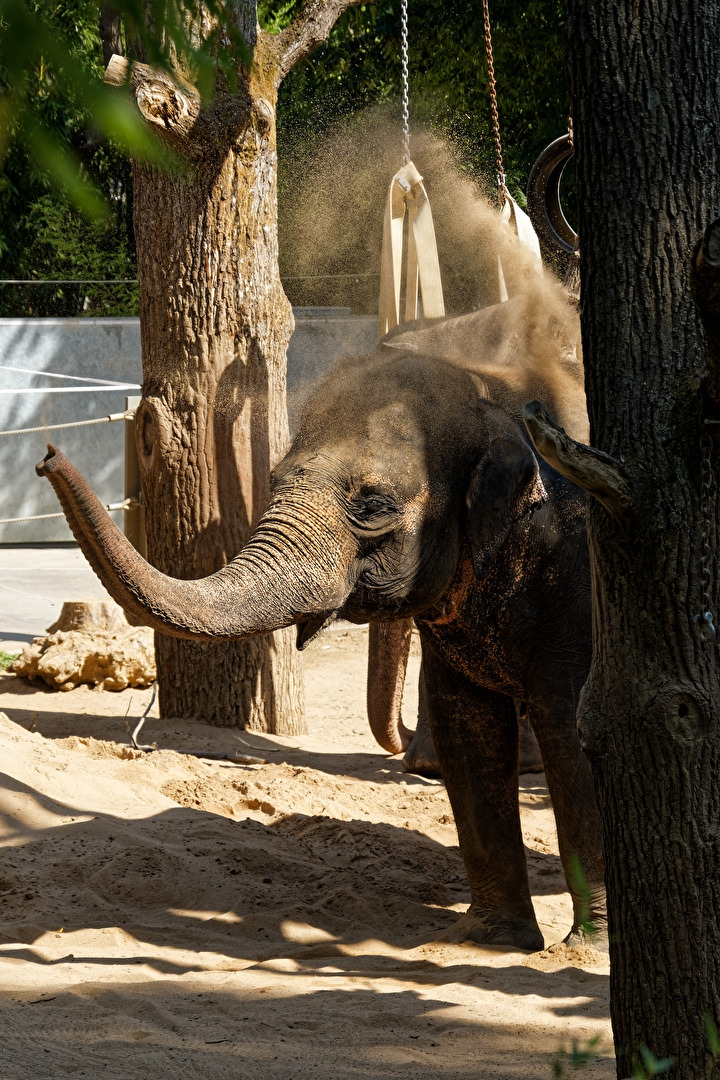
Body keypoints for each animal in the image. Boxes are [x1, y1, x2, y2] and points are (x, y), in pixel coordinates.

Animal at [36, 293, 605, 952]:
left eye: (373, 506)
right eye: (275, 483)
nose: (46, 456)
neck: (490, 390)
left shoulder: (581, 587)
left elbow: (575, 731)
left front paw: (585, 948)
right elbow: (469, 730)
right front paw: (490, 941)